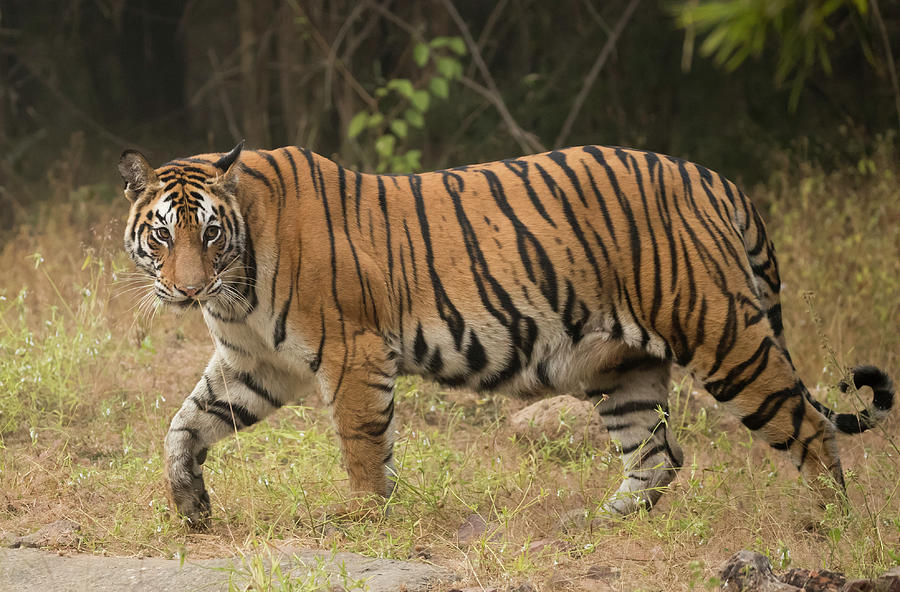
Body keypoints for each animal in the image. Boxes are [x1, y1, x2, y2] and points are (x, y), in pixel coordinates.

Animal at [119, 141, 892, 524]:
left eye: (208, 233)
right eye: (162, 235)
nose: (187, 288)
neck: (237, 286)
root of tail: (714, 179)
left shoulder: (353, 351)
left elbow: (363, 442)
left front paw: (364, 514)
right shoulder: (256, 364)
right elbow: (184, 425)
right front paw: (190, 505)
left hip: (722, 334)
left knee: (807, 428)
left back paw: (831, 524)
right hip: (621, 369)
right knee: (659, 453)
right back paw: (603, 520)